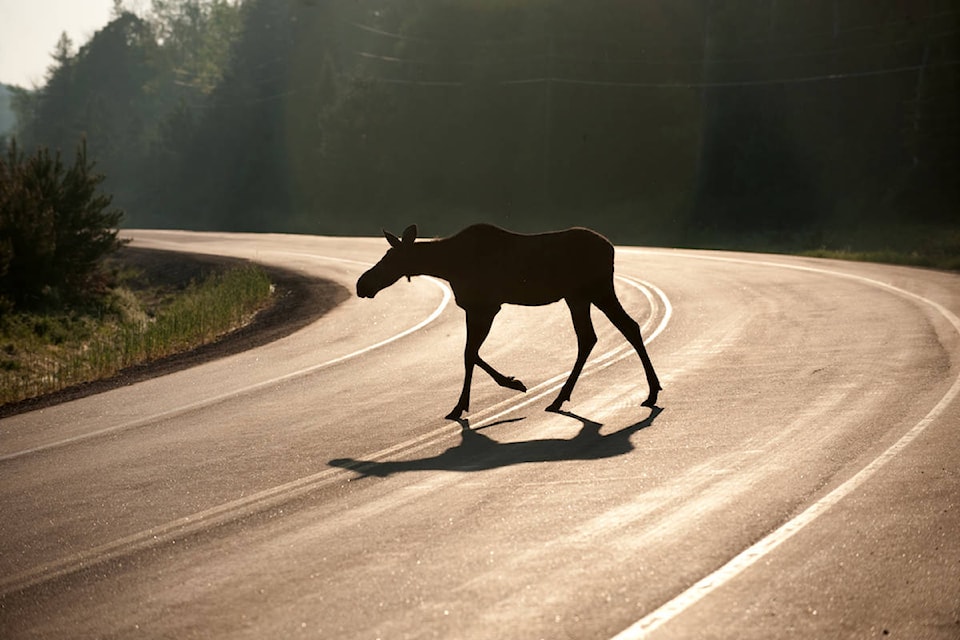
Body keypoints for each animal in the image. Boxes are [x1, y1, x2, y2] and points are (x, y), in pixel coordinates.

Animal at [356, 225, 664, 420]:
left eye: (389, 258)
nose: (362, 284)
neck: (447, 266)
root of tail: (612, 249)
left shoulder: (486, 306)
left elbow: (469, 353)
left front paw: (499, 389)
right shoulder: (477, 308)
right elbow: (470, 354)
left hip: (593, 290)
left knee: (610, 331)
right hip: (580, 295)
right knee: (608, 332)